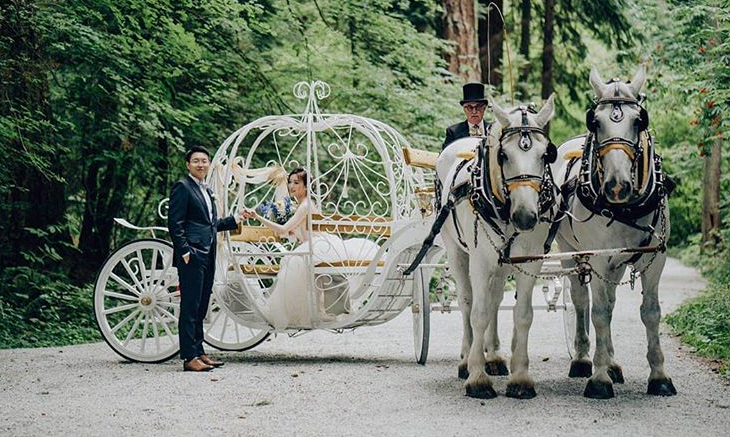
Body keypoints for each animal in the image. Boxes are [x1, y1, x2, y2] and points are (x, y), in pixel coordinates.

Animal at [436, 94, 556, 398]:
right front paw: (477, 378)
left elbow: (522, 315)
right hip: (457, 252)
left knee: (494, 300)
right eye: (504, 155)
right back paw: (467, 359)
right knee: (468, 302)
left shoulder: (530, 260)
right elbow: (477, 314)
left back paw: (493, 358)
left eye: (545, 154)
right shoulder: (479, 261)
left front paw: (520, 378)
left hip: (502, 263)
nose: (525, 217)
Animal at [552, 65, 676, 398]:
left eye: (639, 120)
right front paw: (599, 379)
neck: (624, 207)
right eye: (595, 121)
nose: (617, 186)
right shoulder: (597, 257)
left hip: (617, 262)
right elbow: (598, 313)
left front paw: (659, 376)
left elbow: (650, 311)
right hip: (569, 250)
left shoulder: (655, 258)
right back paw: (584, 360)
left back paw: (612, 363)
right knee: (583, 300)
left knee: (609, 300)